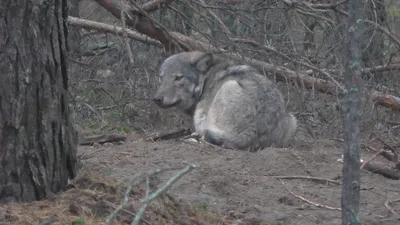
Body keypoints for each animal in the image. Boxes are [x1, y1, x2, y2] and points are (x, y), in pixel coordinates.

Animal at [153, 50, 296, 150]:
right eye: (161, 77)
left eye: (178, 78)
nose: (157, 99)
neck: (206, 79)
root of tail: (253, 131)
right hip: (293, 119)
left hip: (228, 86)